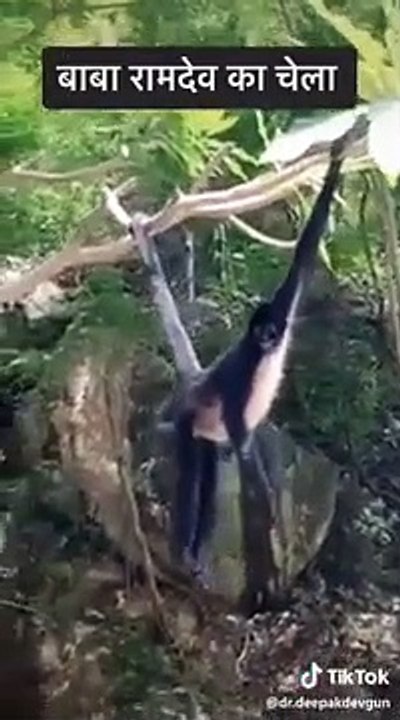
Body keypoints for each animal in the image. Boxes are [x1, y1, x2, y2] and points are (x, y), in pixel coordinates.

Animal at [167, 131, 352, 584]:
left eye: (273, 330)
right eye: (260, 334)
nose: (270, 339)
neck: (262, 354)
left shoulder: (284, 307)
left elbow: (304, 256)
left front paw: (342, 148)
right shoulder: (242, 367)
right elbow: (241, 434)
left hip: (205, 434)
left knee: (209, 483)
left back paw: (196, 551)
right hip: (188, 420)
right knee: (191, 479)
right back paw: (182, 549)